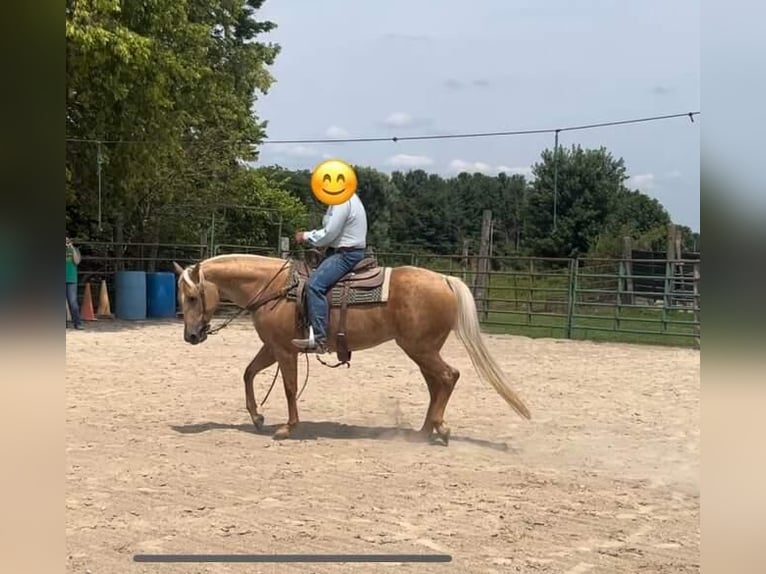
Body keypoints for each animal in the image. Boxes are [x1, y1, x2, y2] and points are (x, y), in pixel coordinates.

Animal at [173, 253, 532, 446]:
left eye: (191, 297)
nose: (191, 336)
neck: (273, 288)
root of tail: (444, 279)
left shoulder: (285, 350)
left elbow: (289, 387)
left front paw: (287, 428)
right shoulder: (272, 347)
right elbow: (248, 373)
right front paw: (257, 416)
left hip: (421, 349)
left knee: (448, 376)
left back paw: (439, 429)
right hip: (421, 350)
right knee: (437, 384)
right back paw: (425, 430)